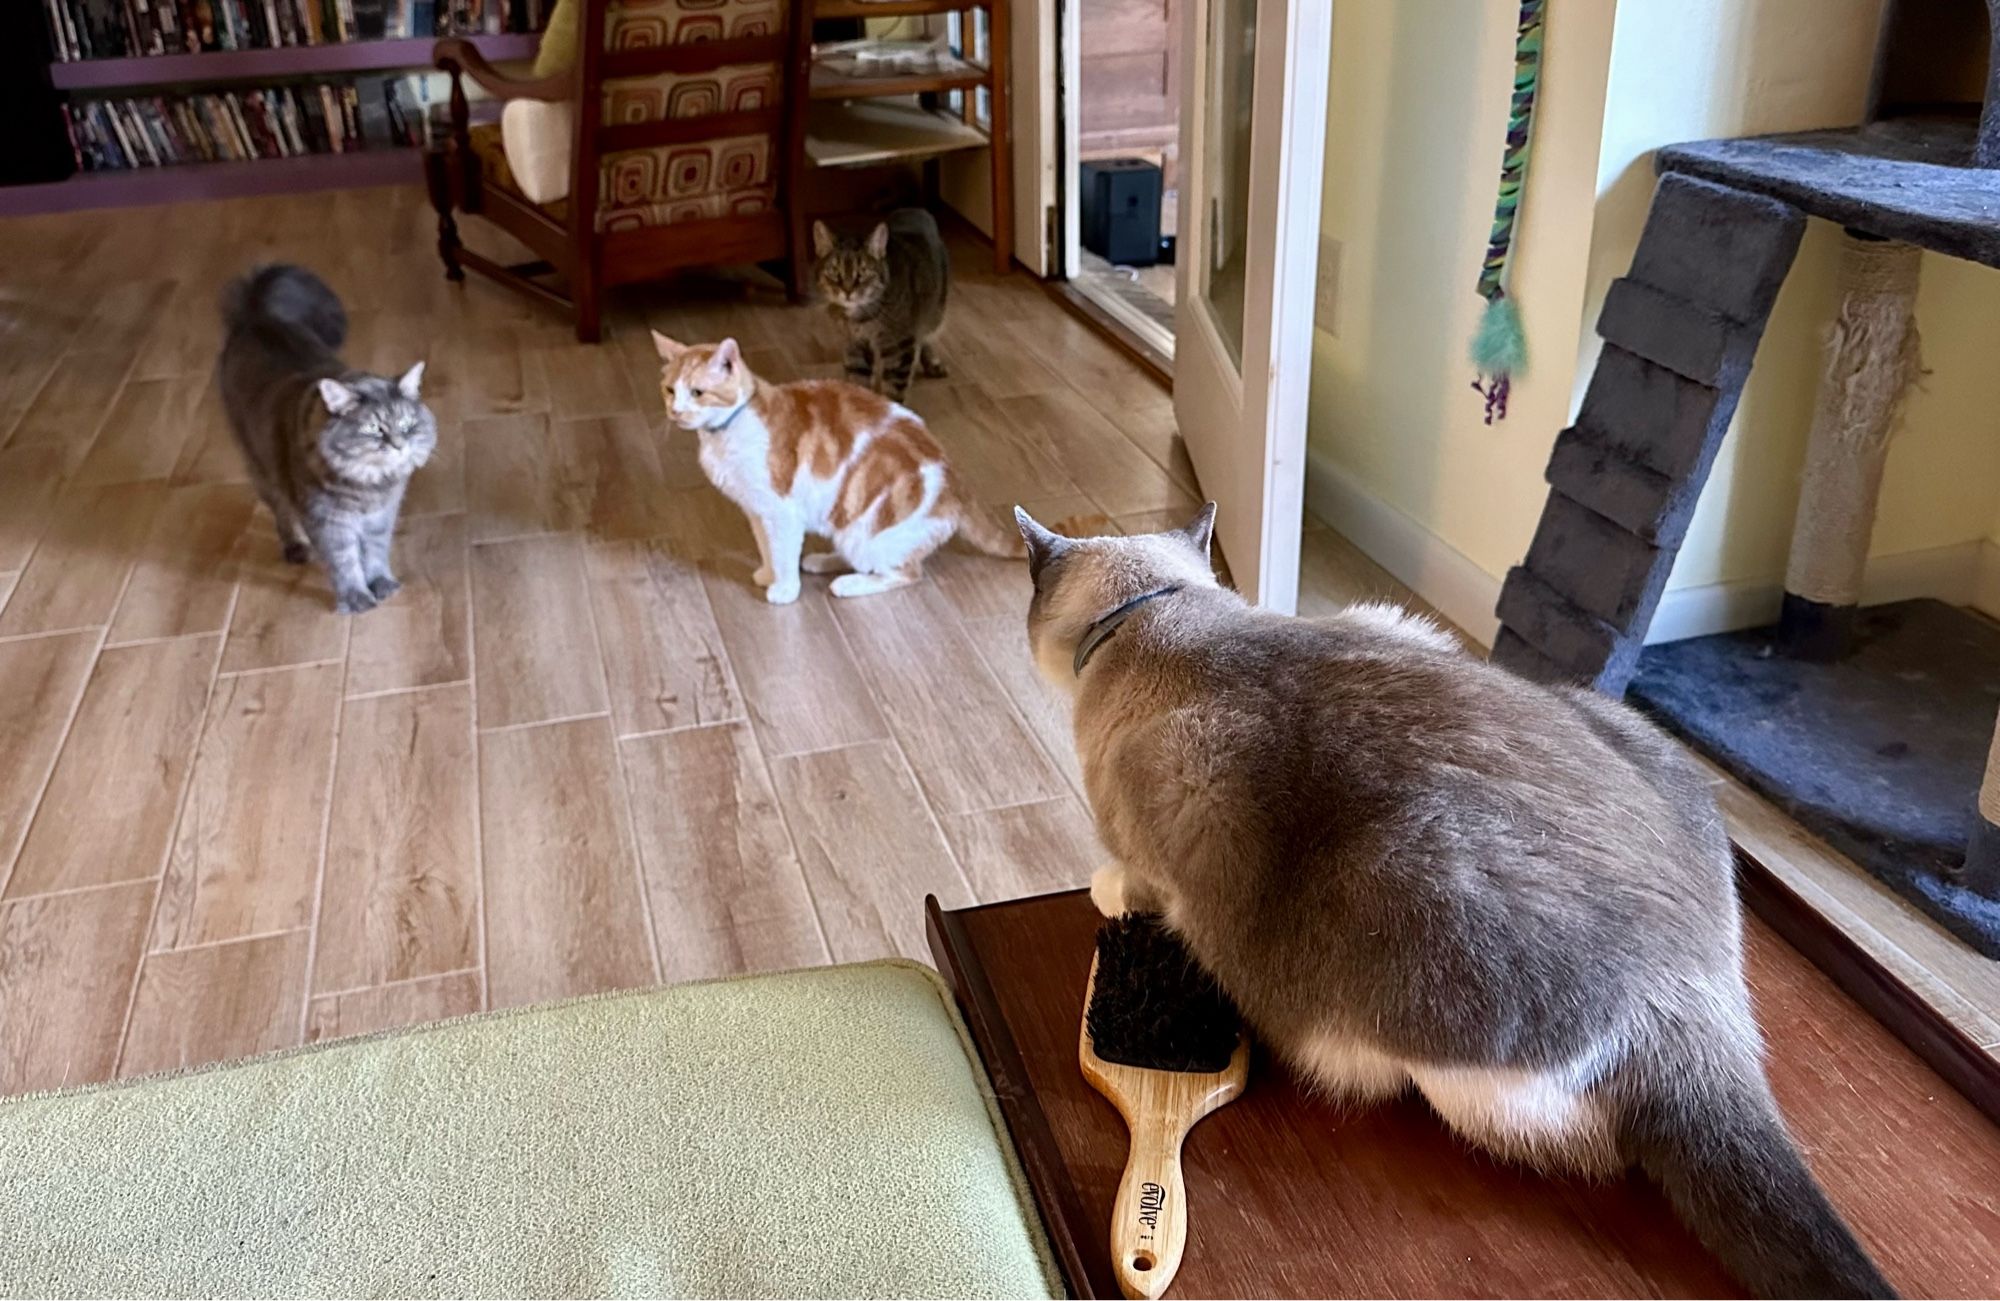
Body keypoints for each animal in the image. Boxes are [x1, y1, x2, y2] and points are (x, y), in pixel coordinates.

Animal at [217, 266, 436, 616]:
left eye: (406, 423)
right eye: (374, 428)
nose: (398, 445)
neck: (368, 484)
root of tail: (256, 315)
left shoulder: (381, 516)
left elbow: (375, 553)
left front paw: (381, 584)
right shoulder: (329, 522)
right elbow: (345, 562)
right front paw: (356, 598)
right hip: (261, 467)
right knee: (282, 512)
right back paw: (296, 548)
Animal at [656, 332, 1024, 600]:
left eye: (698, 392)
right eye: (670, 390)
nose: (675, 411)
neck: (726, 432)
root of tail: (956, 481)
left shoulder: (782, 512)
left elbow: (782, 552)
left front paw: (784, 590)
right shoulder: (756, 510)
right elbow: (767, 548)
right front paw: (768, 574)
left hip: (867, 535)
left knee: (905, 573)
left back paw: (849, 584)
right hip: (849, 529)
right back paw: (823, 561)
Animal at [812, 206, 944, 400]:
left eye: (863, 272)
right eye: (835, 271)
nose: (847, 291)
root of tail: (915, 209)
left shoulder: (899, 347)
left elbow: (893, 391)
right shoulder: (853, 346)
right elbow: (858, 384)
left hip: (934, 314)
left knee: (925, 335)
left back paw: (932, 363)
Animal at [1024, 498, 1896, 1296]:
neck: (1156, 613)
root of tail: (1696, 986)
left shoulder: (1154, 823)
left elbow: (1128, 881)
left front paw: (1105, 889)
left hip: (1407, 933)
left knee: (1581, 1146)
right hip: (1618, 724)